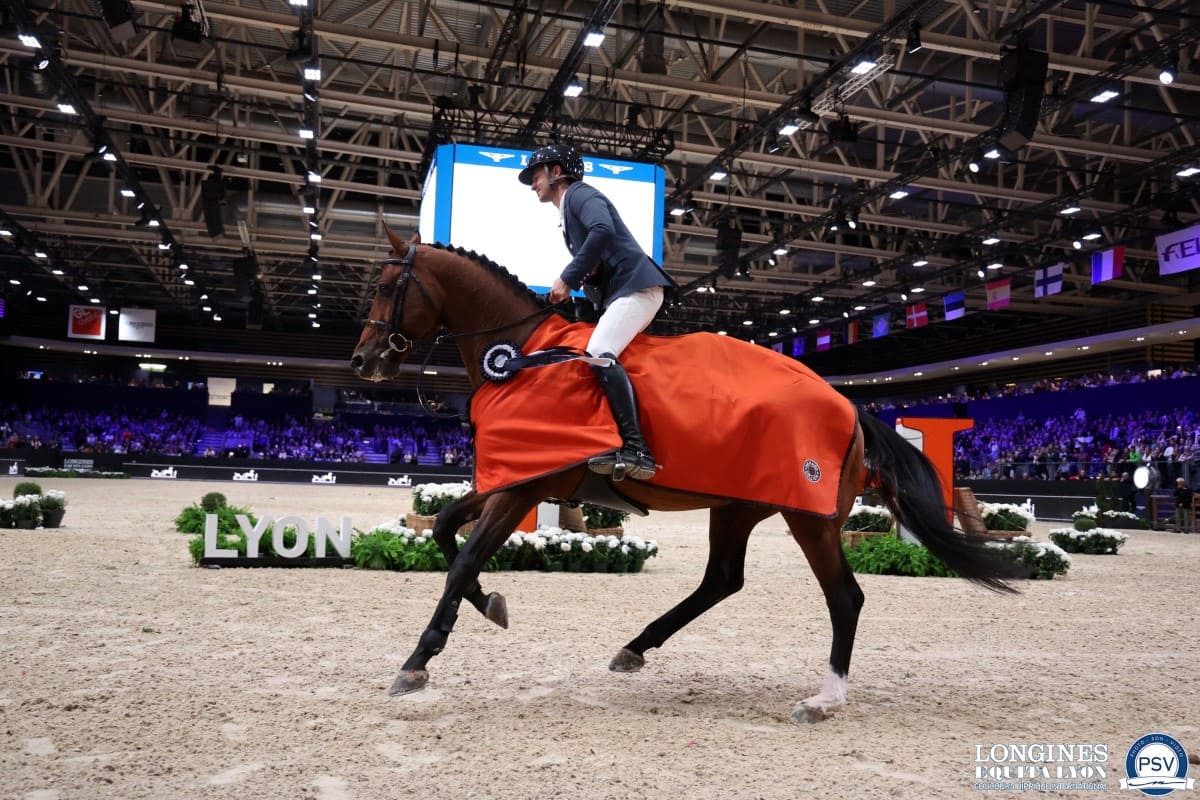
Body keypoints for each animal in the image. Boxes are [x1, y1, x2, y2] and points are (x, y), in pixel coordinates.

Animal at [350, 227, 1022, 724]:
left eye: (385, 286)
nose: (362, 360)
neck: (520, 353)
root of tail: (847, 404)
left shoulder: (523, 486)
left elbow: (462, 558)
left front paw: (418, 661)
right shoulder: (516, 477)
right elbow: (444, 529)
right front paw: (492, 604)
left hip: (808, 515)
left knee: (844, 597)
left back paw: (824, 699)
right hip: (739, 505)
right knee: (722, 579)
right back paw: (634, 647)